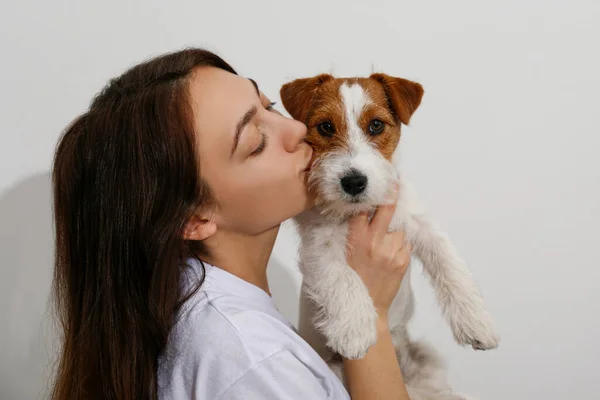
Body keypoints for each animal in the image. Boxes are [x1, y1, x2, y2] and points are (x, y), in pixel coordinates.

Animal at [278, 73, 500, 398]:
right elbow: (342, 276)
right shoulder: (319, 243)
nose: (353, 182)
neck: (364, 210)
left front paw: (477, 323)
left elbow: (450, 264)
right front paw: (355, 331)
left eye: (376, 125)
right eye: (326, 127)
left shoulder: (420, 224)